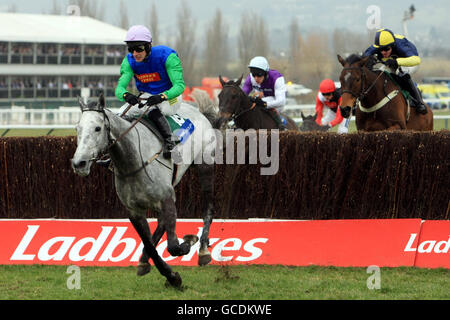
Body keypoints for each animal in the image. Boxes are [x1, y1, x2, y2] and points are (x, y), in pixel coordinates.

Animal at [71, 93, 217, 288]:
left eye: (97, 128)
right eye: (77, 128)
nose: (79, 163)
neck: (133, 162)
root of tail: (198, 111)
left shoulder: (167, 199)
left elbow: (173, 246)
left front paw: (188, 241)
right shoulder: (135, 211)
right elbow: (149, 244)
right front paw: (170, 275)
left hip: (205, 166)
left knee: (208, 208)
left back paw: (203, 251)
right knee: (161, 224)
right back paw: (143, 260)